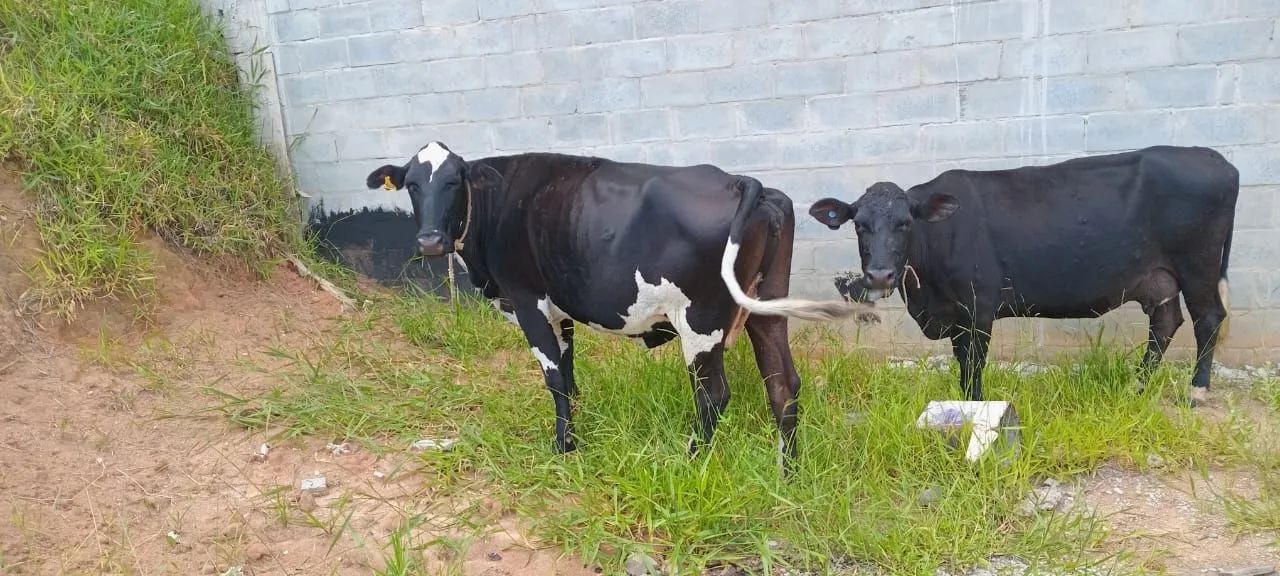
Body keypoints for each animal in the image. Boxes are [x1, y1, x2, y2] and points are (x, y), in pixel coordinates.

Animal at [365, 141, 877, 462]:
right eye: (412, 183)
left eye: (455, 181)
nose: (430, 240)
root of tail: (742, 182)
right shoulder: (561, 308)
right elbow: (569, 373)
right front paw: (576, 429)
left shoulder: (528, 302)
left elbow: (553, 379)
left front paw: (564, 449)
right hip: (765, 307)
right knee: (783, 384)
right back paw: (787, 470)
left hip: (701, 319)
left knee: (714, 395)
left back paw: (691, 458)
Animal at [808, 146, 1237, 406]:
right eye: (860, 225)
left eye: (905, 223)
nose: (880, 275)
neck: (926, 296)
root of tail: (1216, 159)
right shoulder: (957, 314)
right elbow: (961, 364)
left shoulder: (978, 308)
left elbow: (973, 366)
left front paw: (975, 409)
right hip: (1159, 278)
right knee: (1166, 321)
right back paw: (1138, 384)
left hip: (1198, 266)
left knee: (1208, 317)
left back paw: (1197, 390)